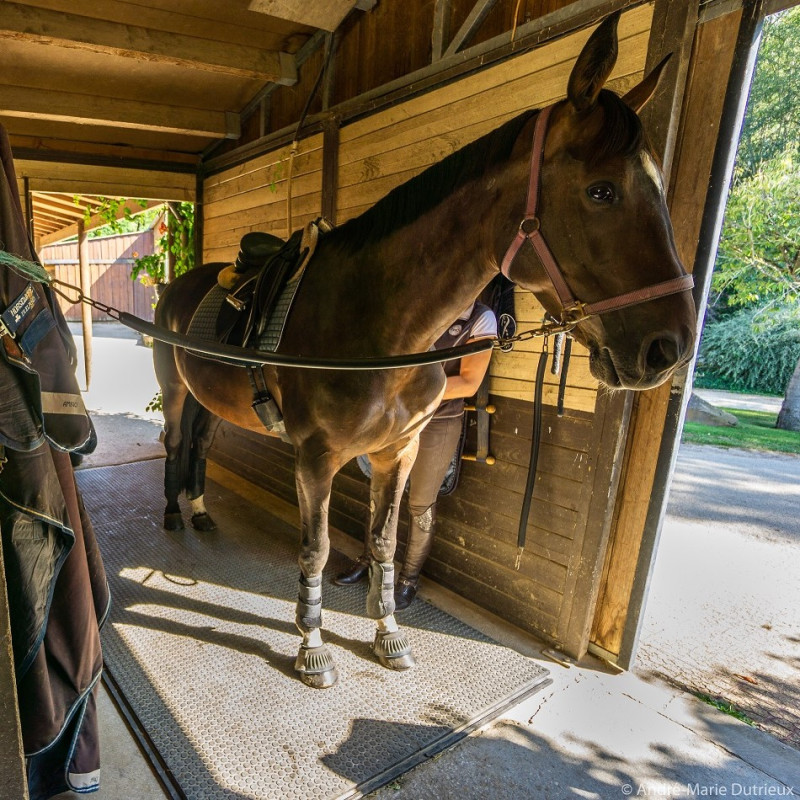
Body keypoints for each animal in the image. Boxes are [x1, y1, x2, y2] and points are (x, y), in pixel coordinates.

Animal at [150, 10, 692, 688]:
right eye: (601, 192)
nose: (669, 347)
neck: (377, 325)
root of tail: (183, 282)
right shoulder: (315, 459)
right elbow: (317, 549)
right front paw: (312, 646)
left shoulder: (397, 454)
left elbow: (384, 544)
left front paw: (388, 634)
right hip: (174, 390)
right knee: (176, 439)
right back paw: (174, 515)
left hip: (212, 401)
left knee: (199, 445)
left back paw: (198, 510)